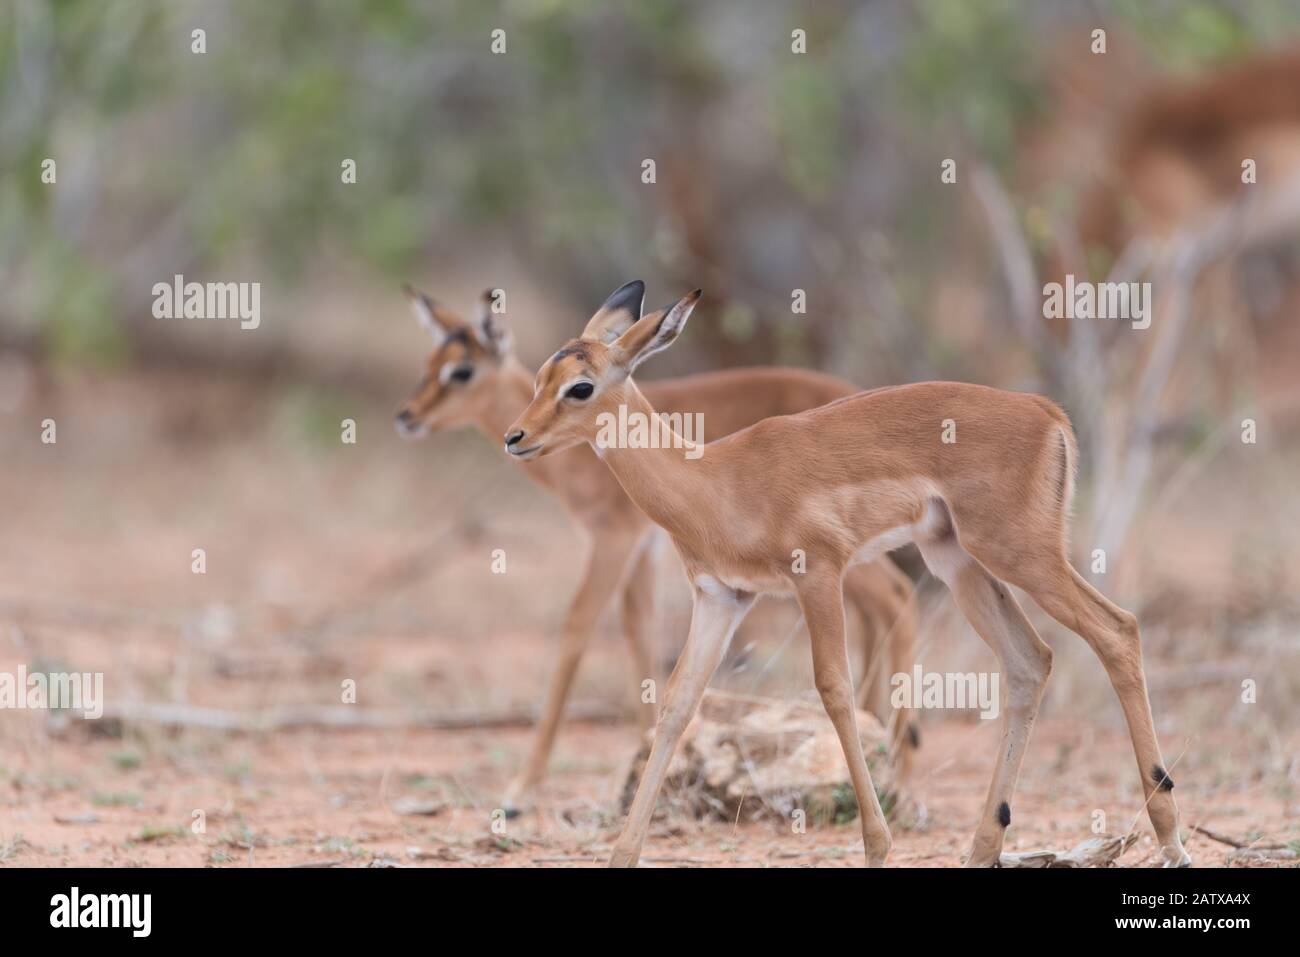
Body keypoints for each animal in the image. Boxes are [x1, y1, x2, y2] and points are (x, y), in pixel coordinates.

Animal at [394, 285, 918, 811]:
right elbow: (639, 629)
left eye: (461, 371)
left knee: (897, 597)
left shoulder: (615, 540)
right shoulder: (645, 550)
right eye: (540, 378)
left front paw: (522, 787)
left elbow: (578, 626)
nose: (407, 415)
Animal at [504, 281, 1192, 868]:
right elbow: (676, 705)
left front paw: (877, 845)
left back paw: (1170, 839)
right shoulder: (722, 597)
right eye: (539, 377)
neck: (714, 480)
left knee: (1118, 631)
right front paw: (623, 852)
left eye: (581, 387)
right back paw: (983, 846)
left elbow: (835, 692)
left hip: (1022, 554)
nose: (515, 437)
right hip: (957, 562)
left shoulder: (818, 575)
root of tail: (1047, 412)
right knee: (1030, 661)